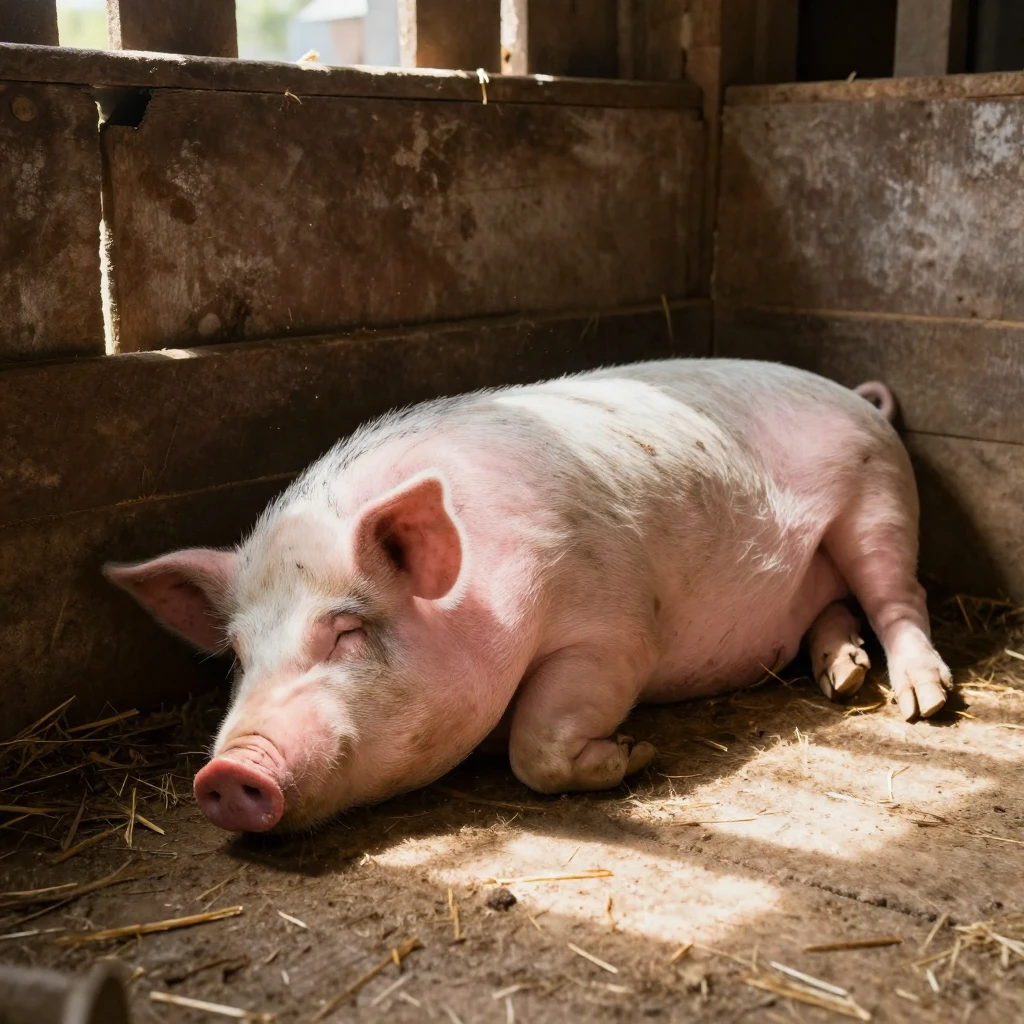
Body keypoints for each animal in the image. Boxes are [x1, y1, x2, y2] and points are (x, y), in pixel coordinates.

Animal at [104, 359, 951, 833]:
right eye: (238, 656)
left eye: (344, 632)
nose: (226, 772)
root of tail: (857, 396)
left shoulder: (614, 629)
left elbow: (533, 747)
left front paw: (635, 753)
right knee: (833, 610)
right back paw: (844, 678)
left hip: (879, 497)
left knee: (898, 595)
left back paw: (923, 703)